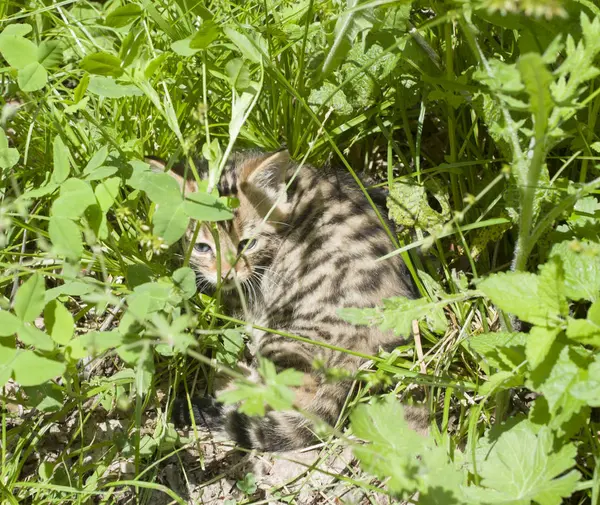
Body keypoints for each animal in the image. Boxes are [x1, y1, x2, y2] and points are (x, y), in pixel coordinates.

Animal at [171, 149, 414, 448]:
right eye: (203, 247)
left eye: (248, 244)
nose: (226, 274)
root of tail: (368, 346)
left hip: (285, 335)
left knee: (293, 394)